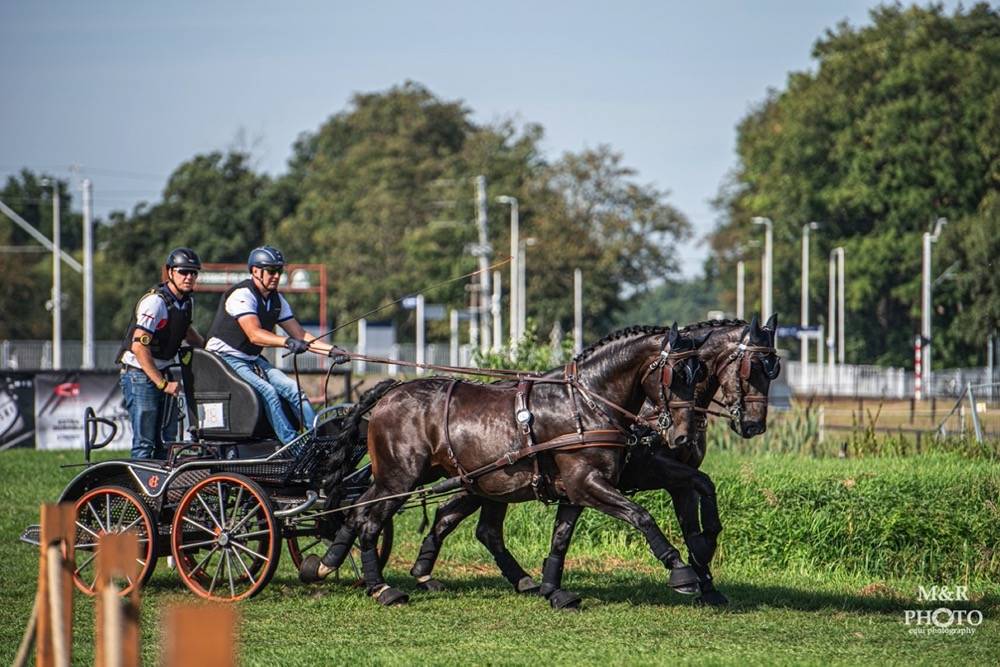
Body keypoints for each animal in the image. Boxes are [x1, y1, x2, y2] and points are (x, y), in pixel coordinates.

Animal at [300, 326, 716, 608]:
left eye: (700, 374)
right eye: (675, 376)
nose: (682, 437)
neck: (585, 404)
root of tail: (392, 390)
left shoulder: (577, 487)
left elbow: (561, 537)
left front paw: (553, 590)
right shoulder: (587, 482)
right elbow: (641, 515)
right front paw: (682, 572)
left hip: (424, 477)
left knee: (361, 510)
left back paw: (328, 564)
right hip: (402, 477)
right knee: (371, 520)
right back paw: (381, 587)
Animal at [402, 316, 776, 608]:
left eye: (773, 369)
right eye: (751, 367)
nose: (754, 426)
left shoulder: (677, 474)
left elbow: (700, 496)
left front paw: (706, 563)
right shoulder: (643, 471)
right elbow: (658, 515)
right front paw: (692, 568)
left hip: (489, 482)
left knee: (462, 520)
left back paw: (436, 572)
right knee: (466, 522)